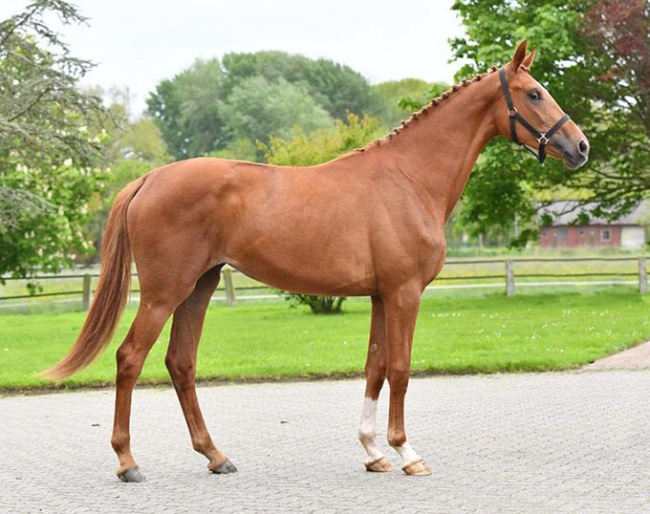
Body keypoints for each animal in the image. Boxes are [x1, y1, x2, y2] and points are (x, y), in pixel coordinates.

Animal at [41, 41, 588, 480]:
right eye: (534, 93)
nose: (580, 146)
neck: (410, 178)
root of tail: (148, 179)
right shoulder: (404, 292)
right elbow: (401, 368)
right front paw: (406, 453)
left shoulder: (380, 295)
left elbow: (374, 367)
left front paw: (373, 453)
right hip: (163, 291)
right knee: (130, 358)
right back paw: (127, 462)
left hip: (200, 286)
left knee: (181, 362)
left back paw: (216, 456)